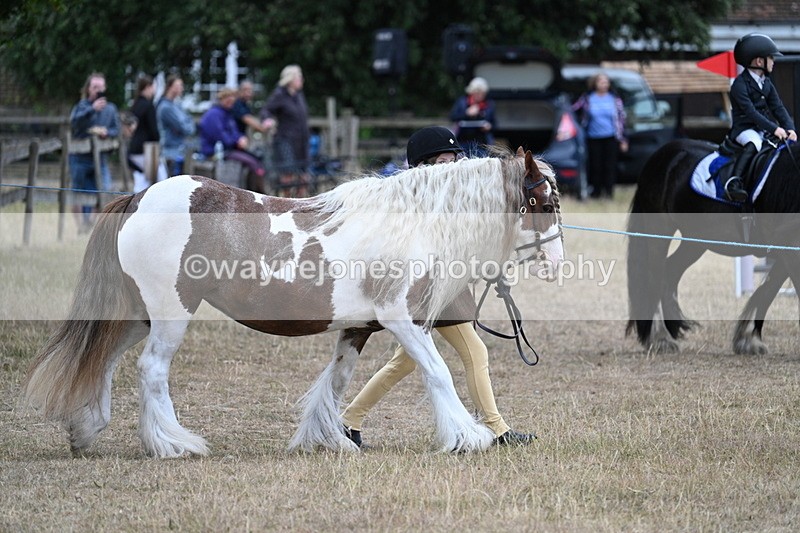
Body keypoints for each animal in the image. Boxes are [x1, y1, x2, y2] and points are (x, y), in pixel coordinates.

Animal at [23, 148, 564, 458]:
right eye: (544, 202)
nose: (557, 263)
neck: (411, 224)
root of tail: (139, 196)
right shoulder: (402, 321)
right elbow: (439, 374)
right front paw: (466, 437)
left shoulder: (360, 328)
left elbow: (337, 382)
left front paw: (331, 440)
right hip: (170, 314)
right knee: (150, 370)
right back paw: (174, 445)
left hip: (137, 314)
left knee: (107, 360)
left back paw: (86, 431)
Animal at [626, 138, 800, 354]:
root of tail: (663, 154)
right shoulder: (789, 247)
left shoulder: (787, 249)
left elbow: (769, 288)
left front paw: (748, 339)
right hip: (658, 229)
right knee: (655, 276)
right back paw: (661, 338)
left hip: (696, 239)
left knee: (671, 270)